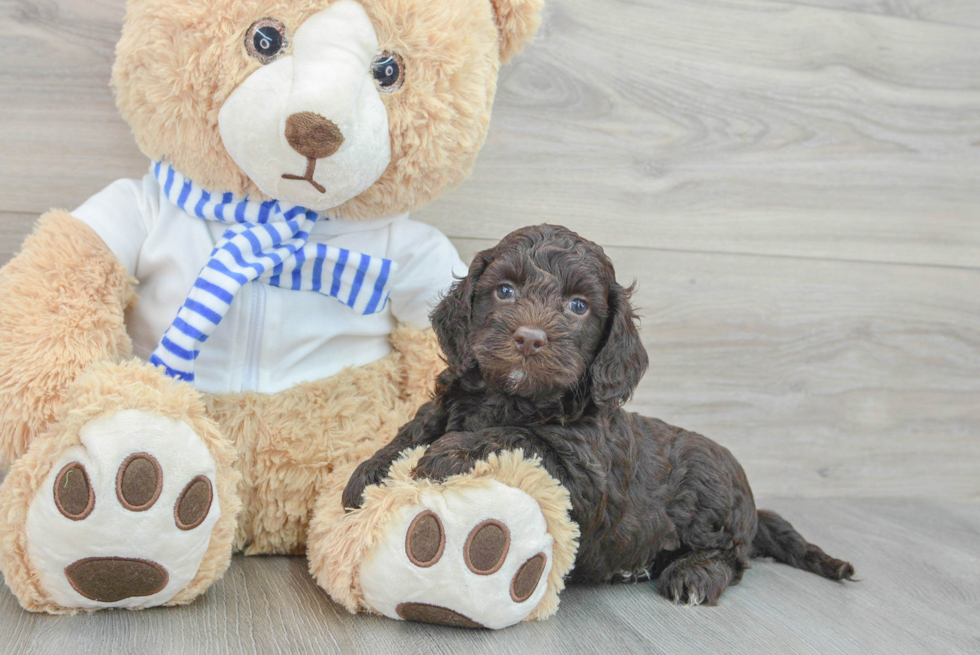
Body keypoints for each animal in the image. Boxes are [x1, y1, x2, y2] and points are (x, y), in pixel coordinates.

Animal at [342, 226, 848, 604]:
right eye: (505, 291)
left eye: (578, 306)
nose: (529, 338)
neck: (510, 396)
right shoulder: (446, 402)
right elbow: (414, 428)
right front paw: (367, 473)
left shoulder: (585, 478)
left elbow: (520, 435)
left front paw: (449, 453)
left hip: (710, 487)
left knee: (732, 557)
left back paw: (695, 575)